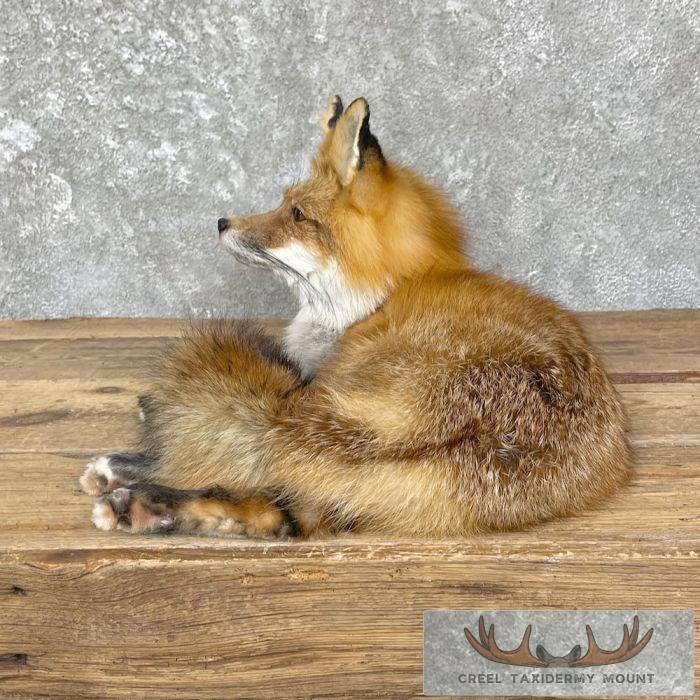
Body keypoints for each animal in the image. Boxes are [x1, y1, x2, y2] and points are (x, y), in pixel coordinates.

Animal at [80, 96, 631, 539]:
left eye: (296, 214)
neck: (379, 299)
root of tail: (470, 427)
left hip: (316, 412)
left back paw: (131, 494)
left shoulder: (309, 378)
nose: (222, 222)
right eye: (283, 203)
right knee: (279, 515)